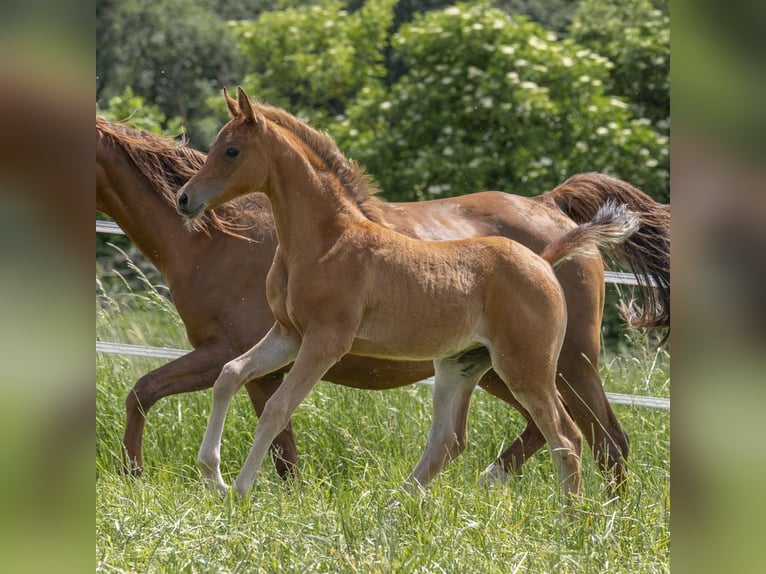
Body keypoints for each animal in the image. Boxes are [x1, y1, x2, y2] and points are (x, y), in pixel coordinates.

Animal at [97, 113, 668, 487]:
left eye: (232, 150)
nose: (185, 200)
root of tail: (553, 228)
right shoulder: (280, 339)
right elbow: (231, 391)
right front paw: (215, 480)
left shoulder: (304, 344)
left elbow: (251, 414)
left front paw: (204, 484)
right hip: (477, 367)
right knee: (474, 439)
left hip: (557, 364)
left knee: (594, 439)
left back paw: (587, 521)